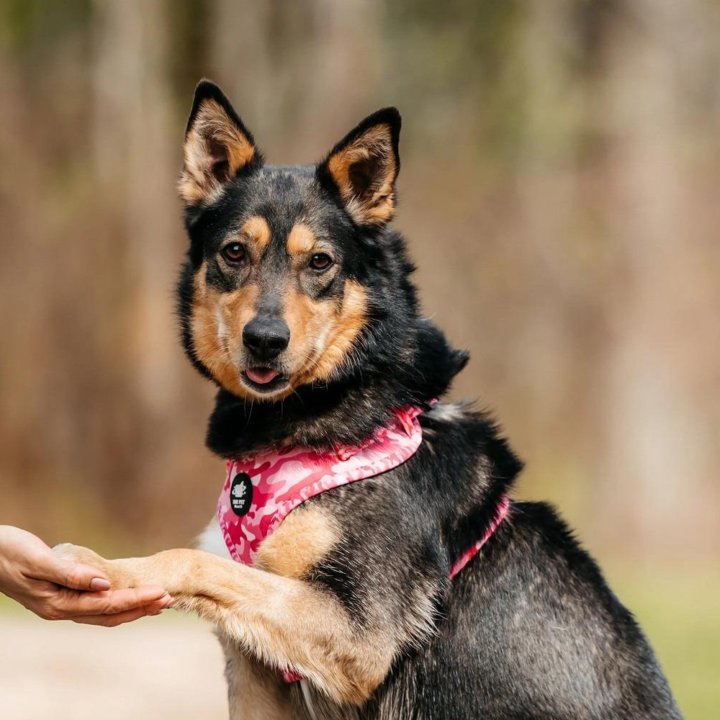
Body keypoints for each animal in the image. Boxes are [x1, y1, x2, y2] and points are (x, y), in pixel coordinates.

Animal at [56, 81, 680, 716]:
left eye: (320, 262)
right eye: (234, 253)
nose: (265, 339)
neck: (329, 406)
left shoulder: (358, 632)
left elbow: (190, 559)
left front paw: (105, 567)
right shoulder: (259, 675)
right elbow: (212, 569)